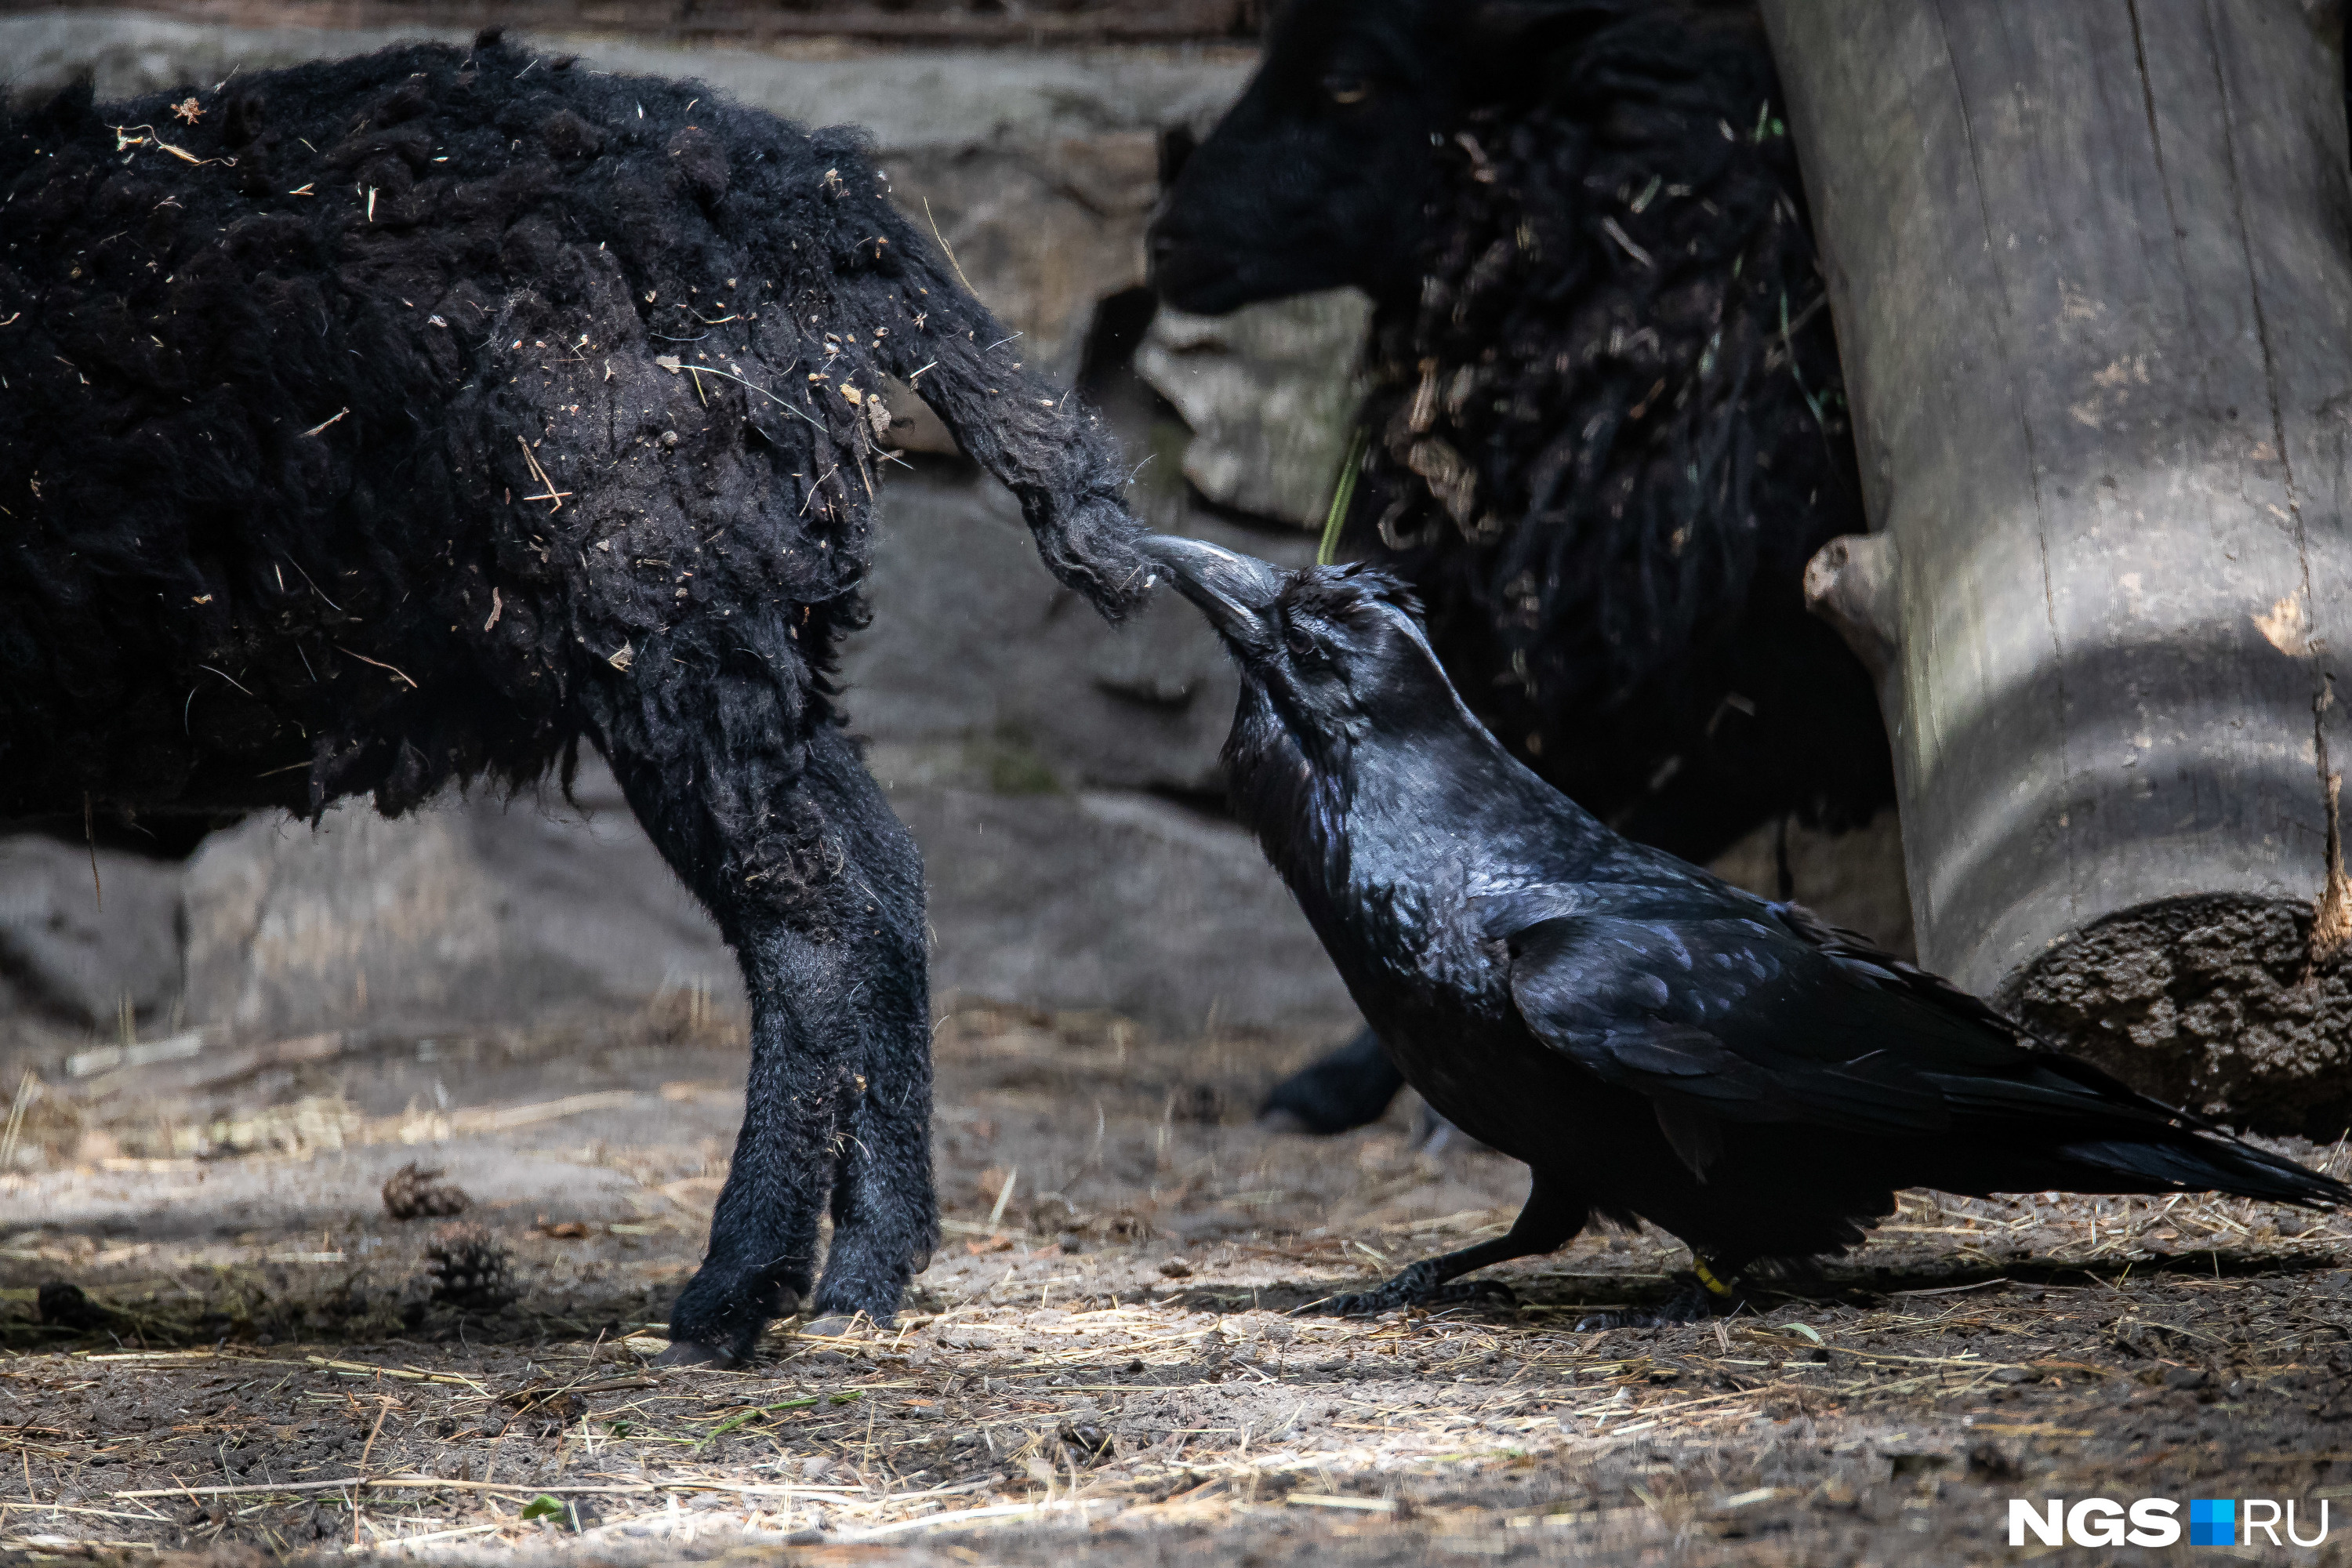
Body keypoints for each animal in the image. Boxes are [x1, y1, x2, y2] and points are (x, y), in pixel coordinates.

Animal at [0, 34, 1157, 1363]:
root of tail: (813, 195)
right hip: (757, 617)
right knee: (885, 876)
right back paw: (868, 1275)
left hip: (670, 602)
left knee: (814, 916)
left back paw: (733, 1294)